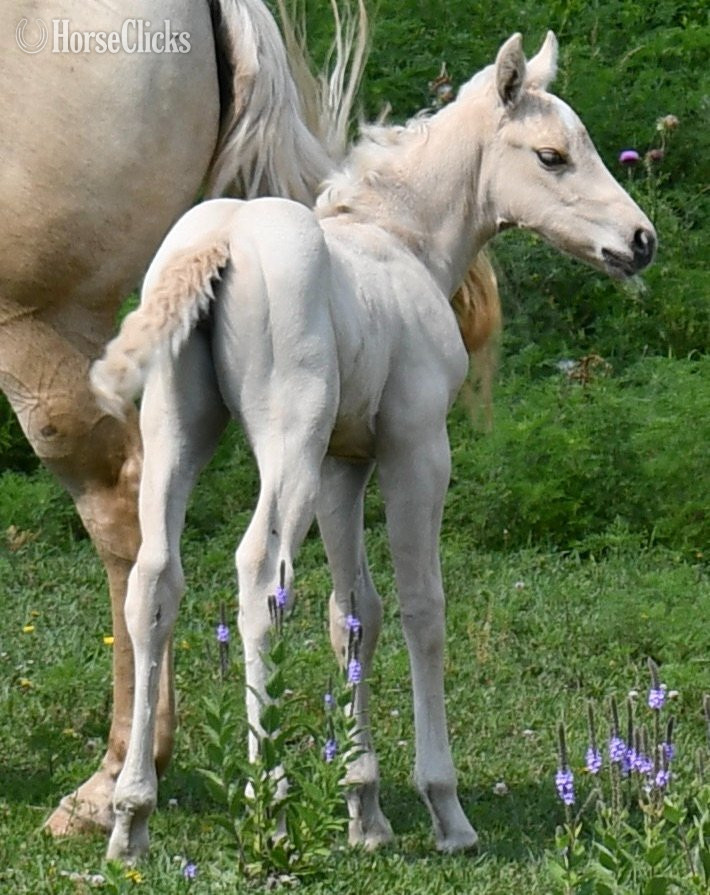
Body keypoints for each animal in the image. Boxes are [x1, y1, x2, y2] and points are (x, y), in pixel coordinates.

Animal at [91, 30, 655, 862]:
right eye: (552, 155)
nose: (641, 242)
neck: (404, 242)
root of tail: (221, 237)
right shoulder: (416, 448)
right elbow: (422, 606)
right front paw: (444, 809)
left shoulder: (343, 462)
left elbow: (353, 610)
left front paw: (364, 809)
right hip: (286, 440)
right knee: (259, 573)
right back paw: (268, 802)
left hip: (178, 433)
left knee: (155, 579)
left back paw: (131, 816)